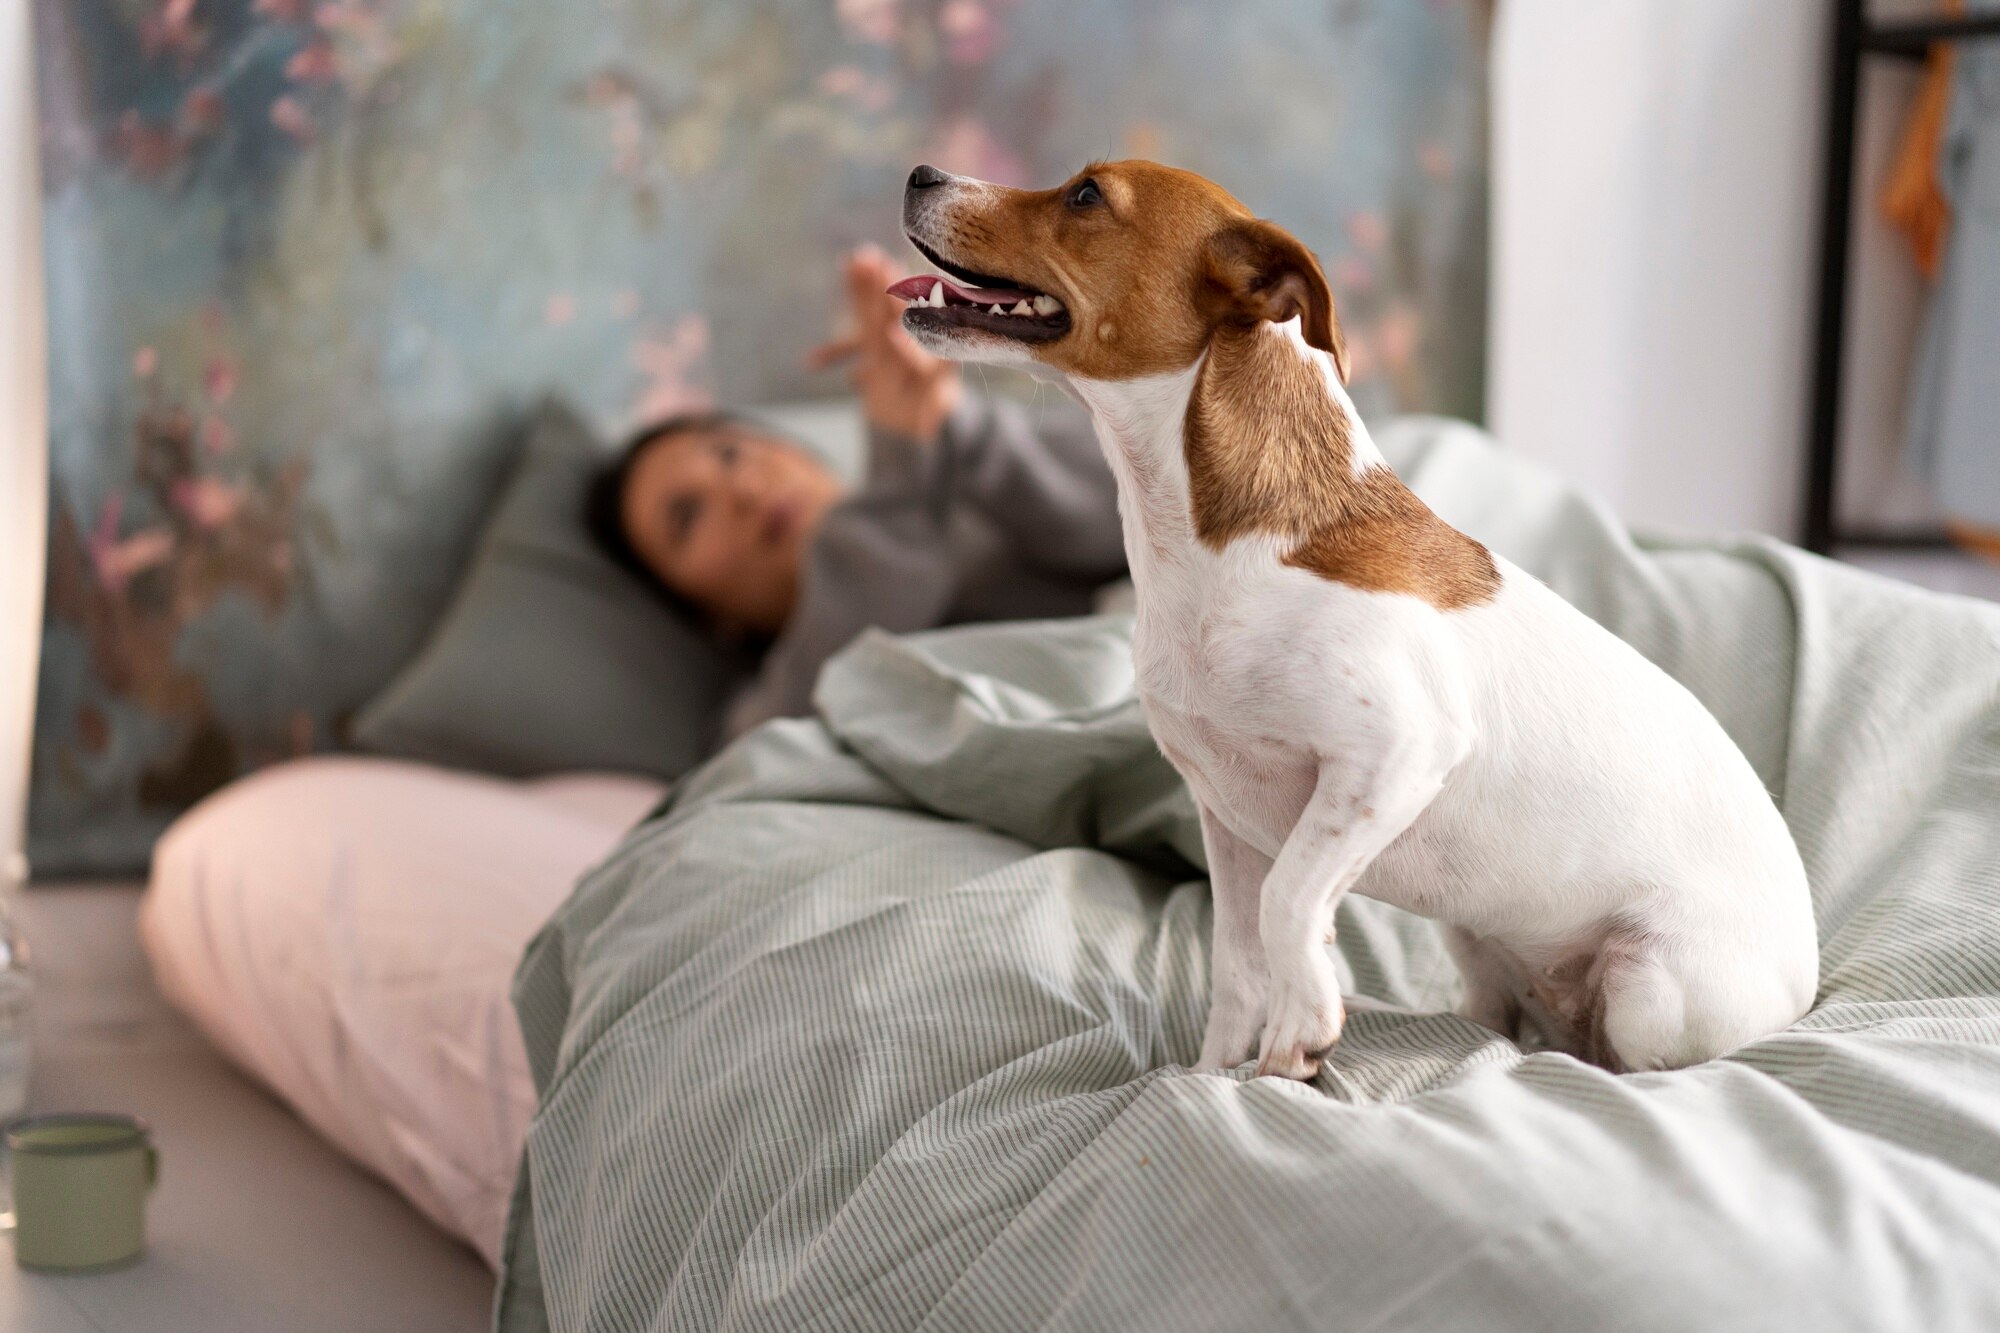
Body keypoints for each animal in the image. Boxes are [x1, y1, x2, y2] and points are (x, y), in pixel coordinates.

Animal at [888, 161, 1816, 1072]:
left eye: (1085, 194)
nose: (921, 171)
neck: (1214, 548)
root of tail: (1807, 983)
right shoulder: (1225, 814)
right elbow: (1236, 968)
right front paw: (1217, 1079)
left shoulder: (1395, 754)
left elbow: (1289, 901)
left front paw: (1303, 1028)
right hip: (1470, 929)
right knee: (1494, 1022)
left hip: (1646, 990)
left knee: (1617, 1061)